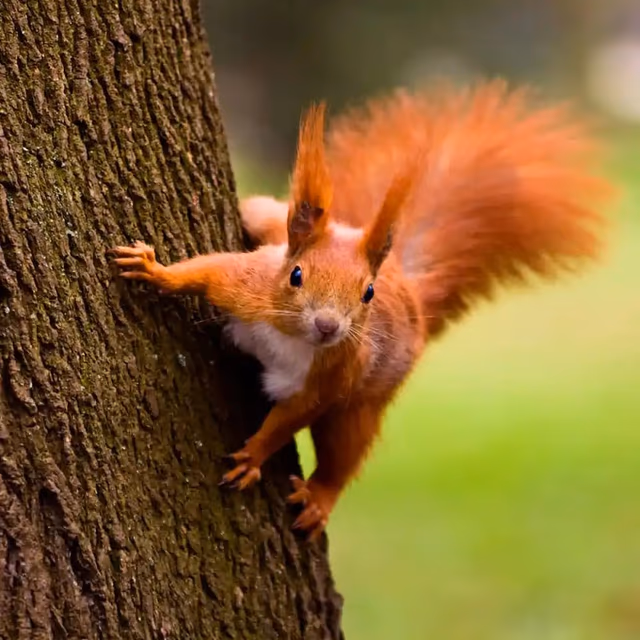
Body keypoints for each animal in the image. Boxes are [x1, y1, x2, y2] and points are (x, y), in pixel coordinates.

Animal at [111, 80, 611, 540]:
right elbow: (206, 270)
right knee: (261, 213)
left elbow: (289, 419)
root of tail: (409, 290)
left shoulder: (331, 377)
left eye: (367, 293)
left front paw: (253, 457)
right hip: (269, 223)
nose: (328, 326)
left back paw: (320, 498)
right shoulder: (247, 287)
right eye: (296, 275)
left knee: (344, 452)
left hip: (364, 404)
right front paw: (154, 270)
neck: (291, 336)